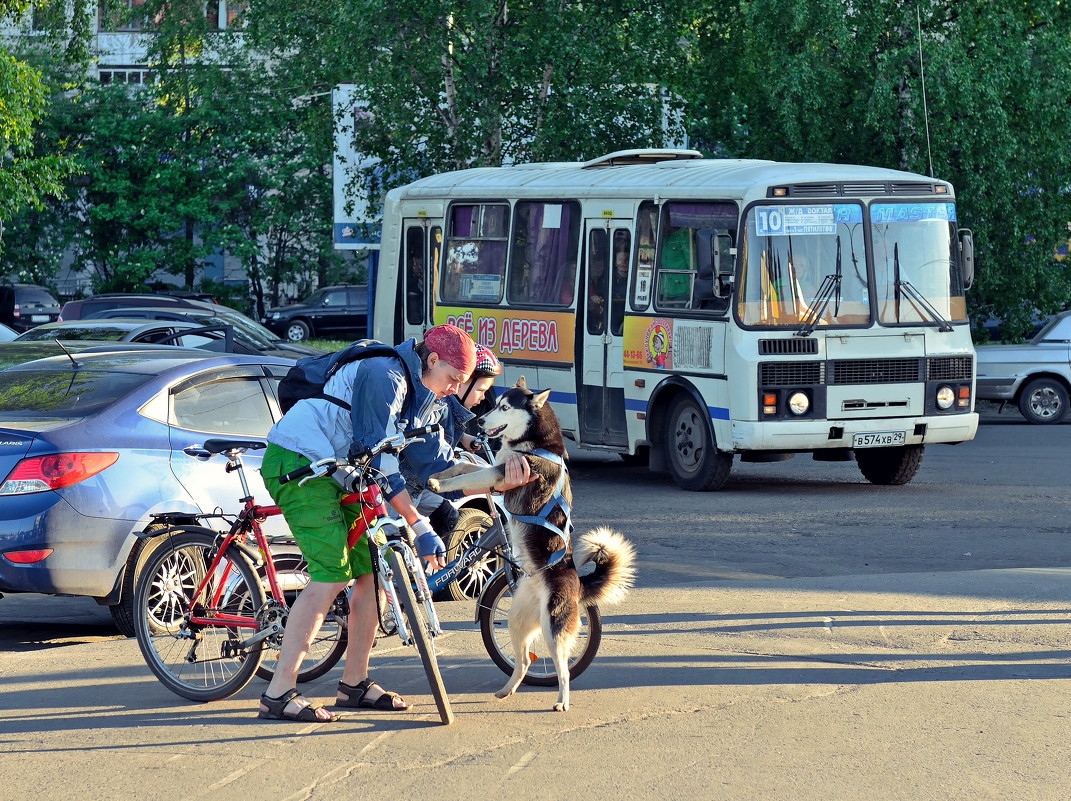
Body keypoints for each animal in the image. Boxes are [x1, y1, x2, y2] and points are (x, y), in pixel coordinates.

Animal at [428, 379, 634, 711]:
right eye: (494, 403)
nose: (479, 422)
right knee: (524, 661)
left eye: (504, 407)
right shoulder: (497, 474)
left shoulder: (503, 475)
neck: (534, 441)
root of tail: (577, 582)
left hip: (554, 628)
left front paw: (441, 483)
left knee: (563, 669)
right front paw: (440, 474)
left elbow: (469, 475)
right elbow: (463, 469)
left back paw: (562, 700)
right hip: (517, 620)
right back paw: (507, 690)